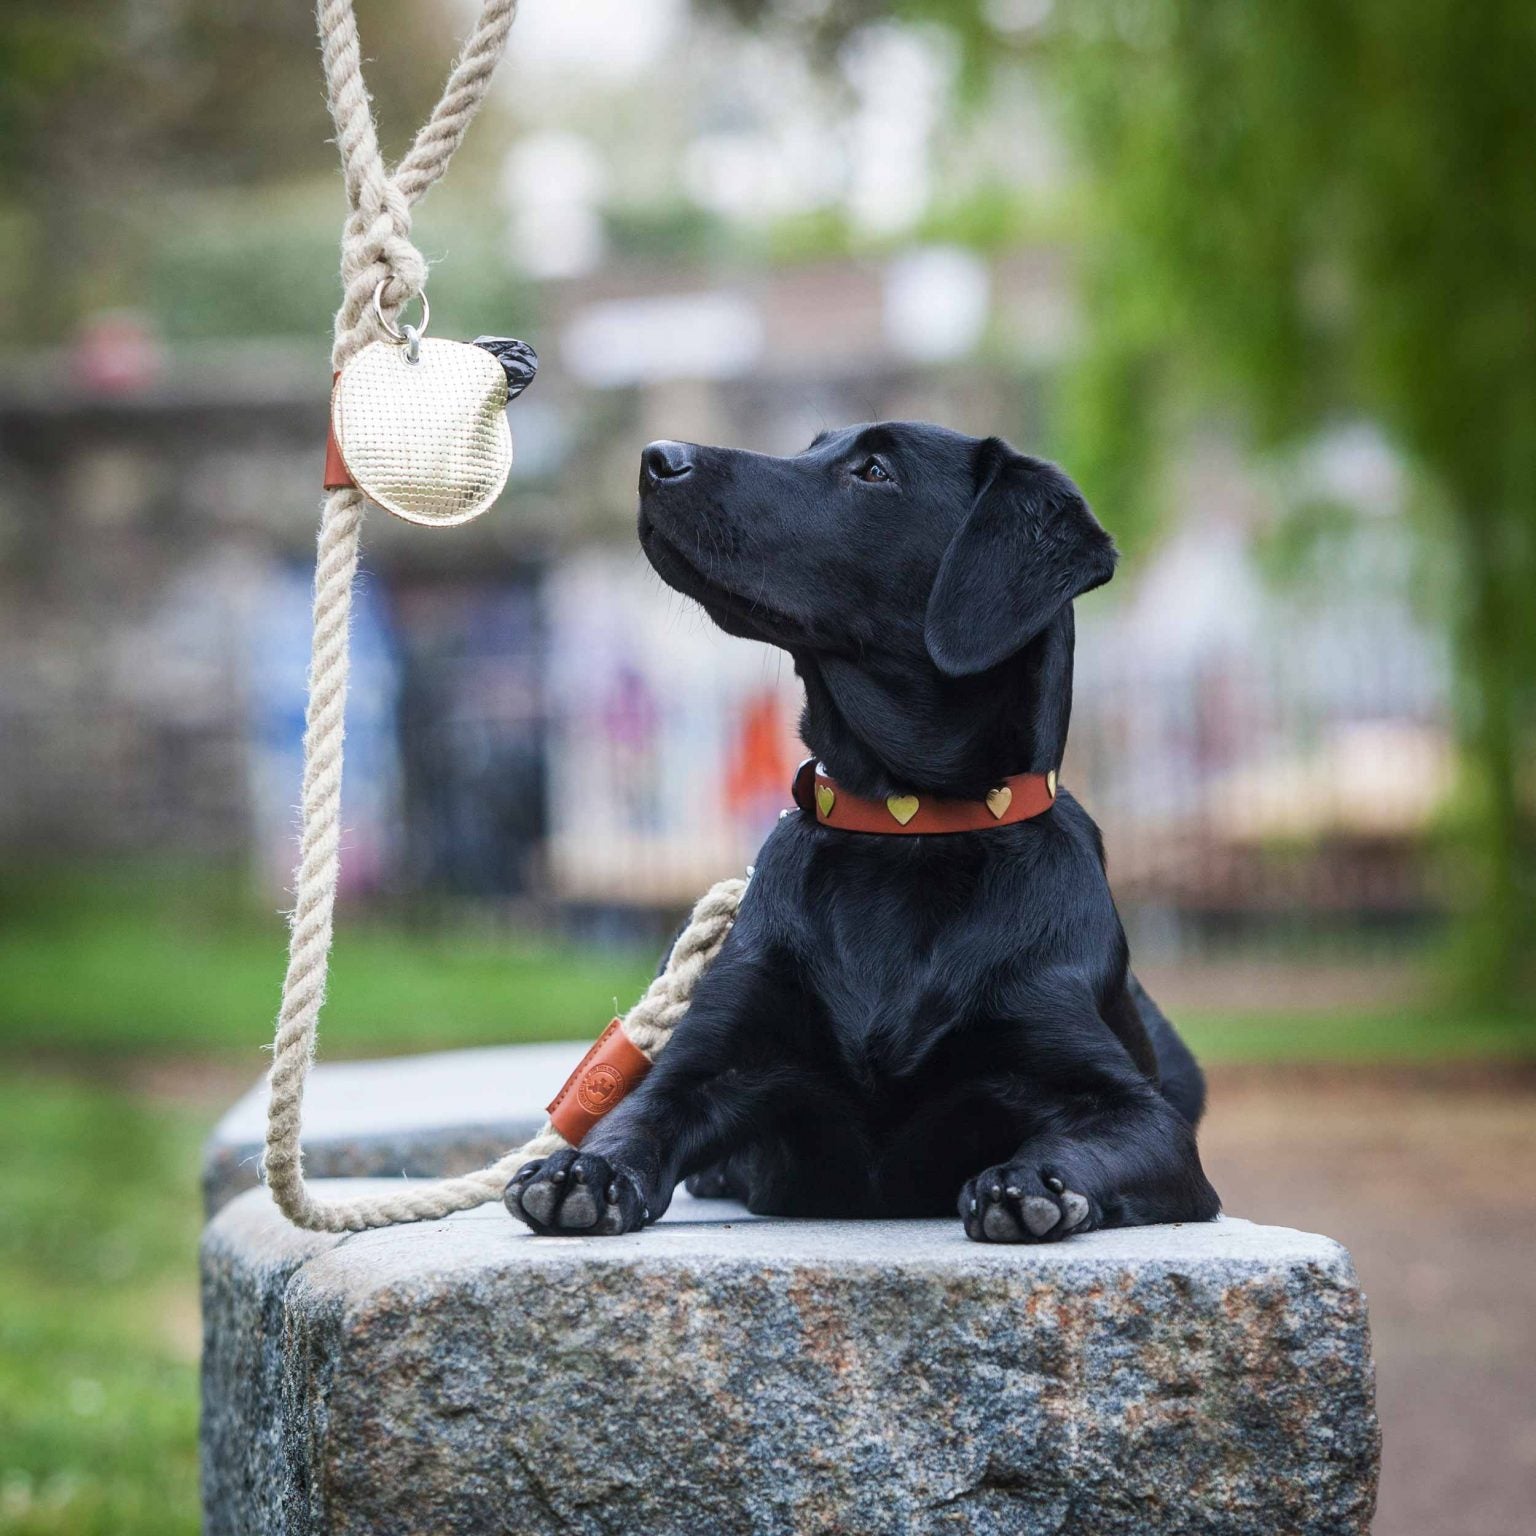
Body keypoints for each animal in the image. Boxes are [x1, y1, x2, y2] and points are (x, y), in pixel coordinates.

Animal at [509, 427, 1216, 1241]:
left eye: (874, 471)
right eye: (811, 445)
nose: (657, 457)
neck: (903, 833)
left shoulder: (1143, 1116)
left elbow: (1088, 1139)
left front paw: (1033, 1180)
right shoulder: (706, 1064)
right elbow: (631, 1121)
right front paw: (580, 1171)